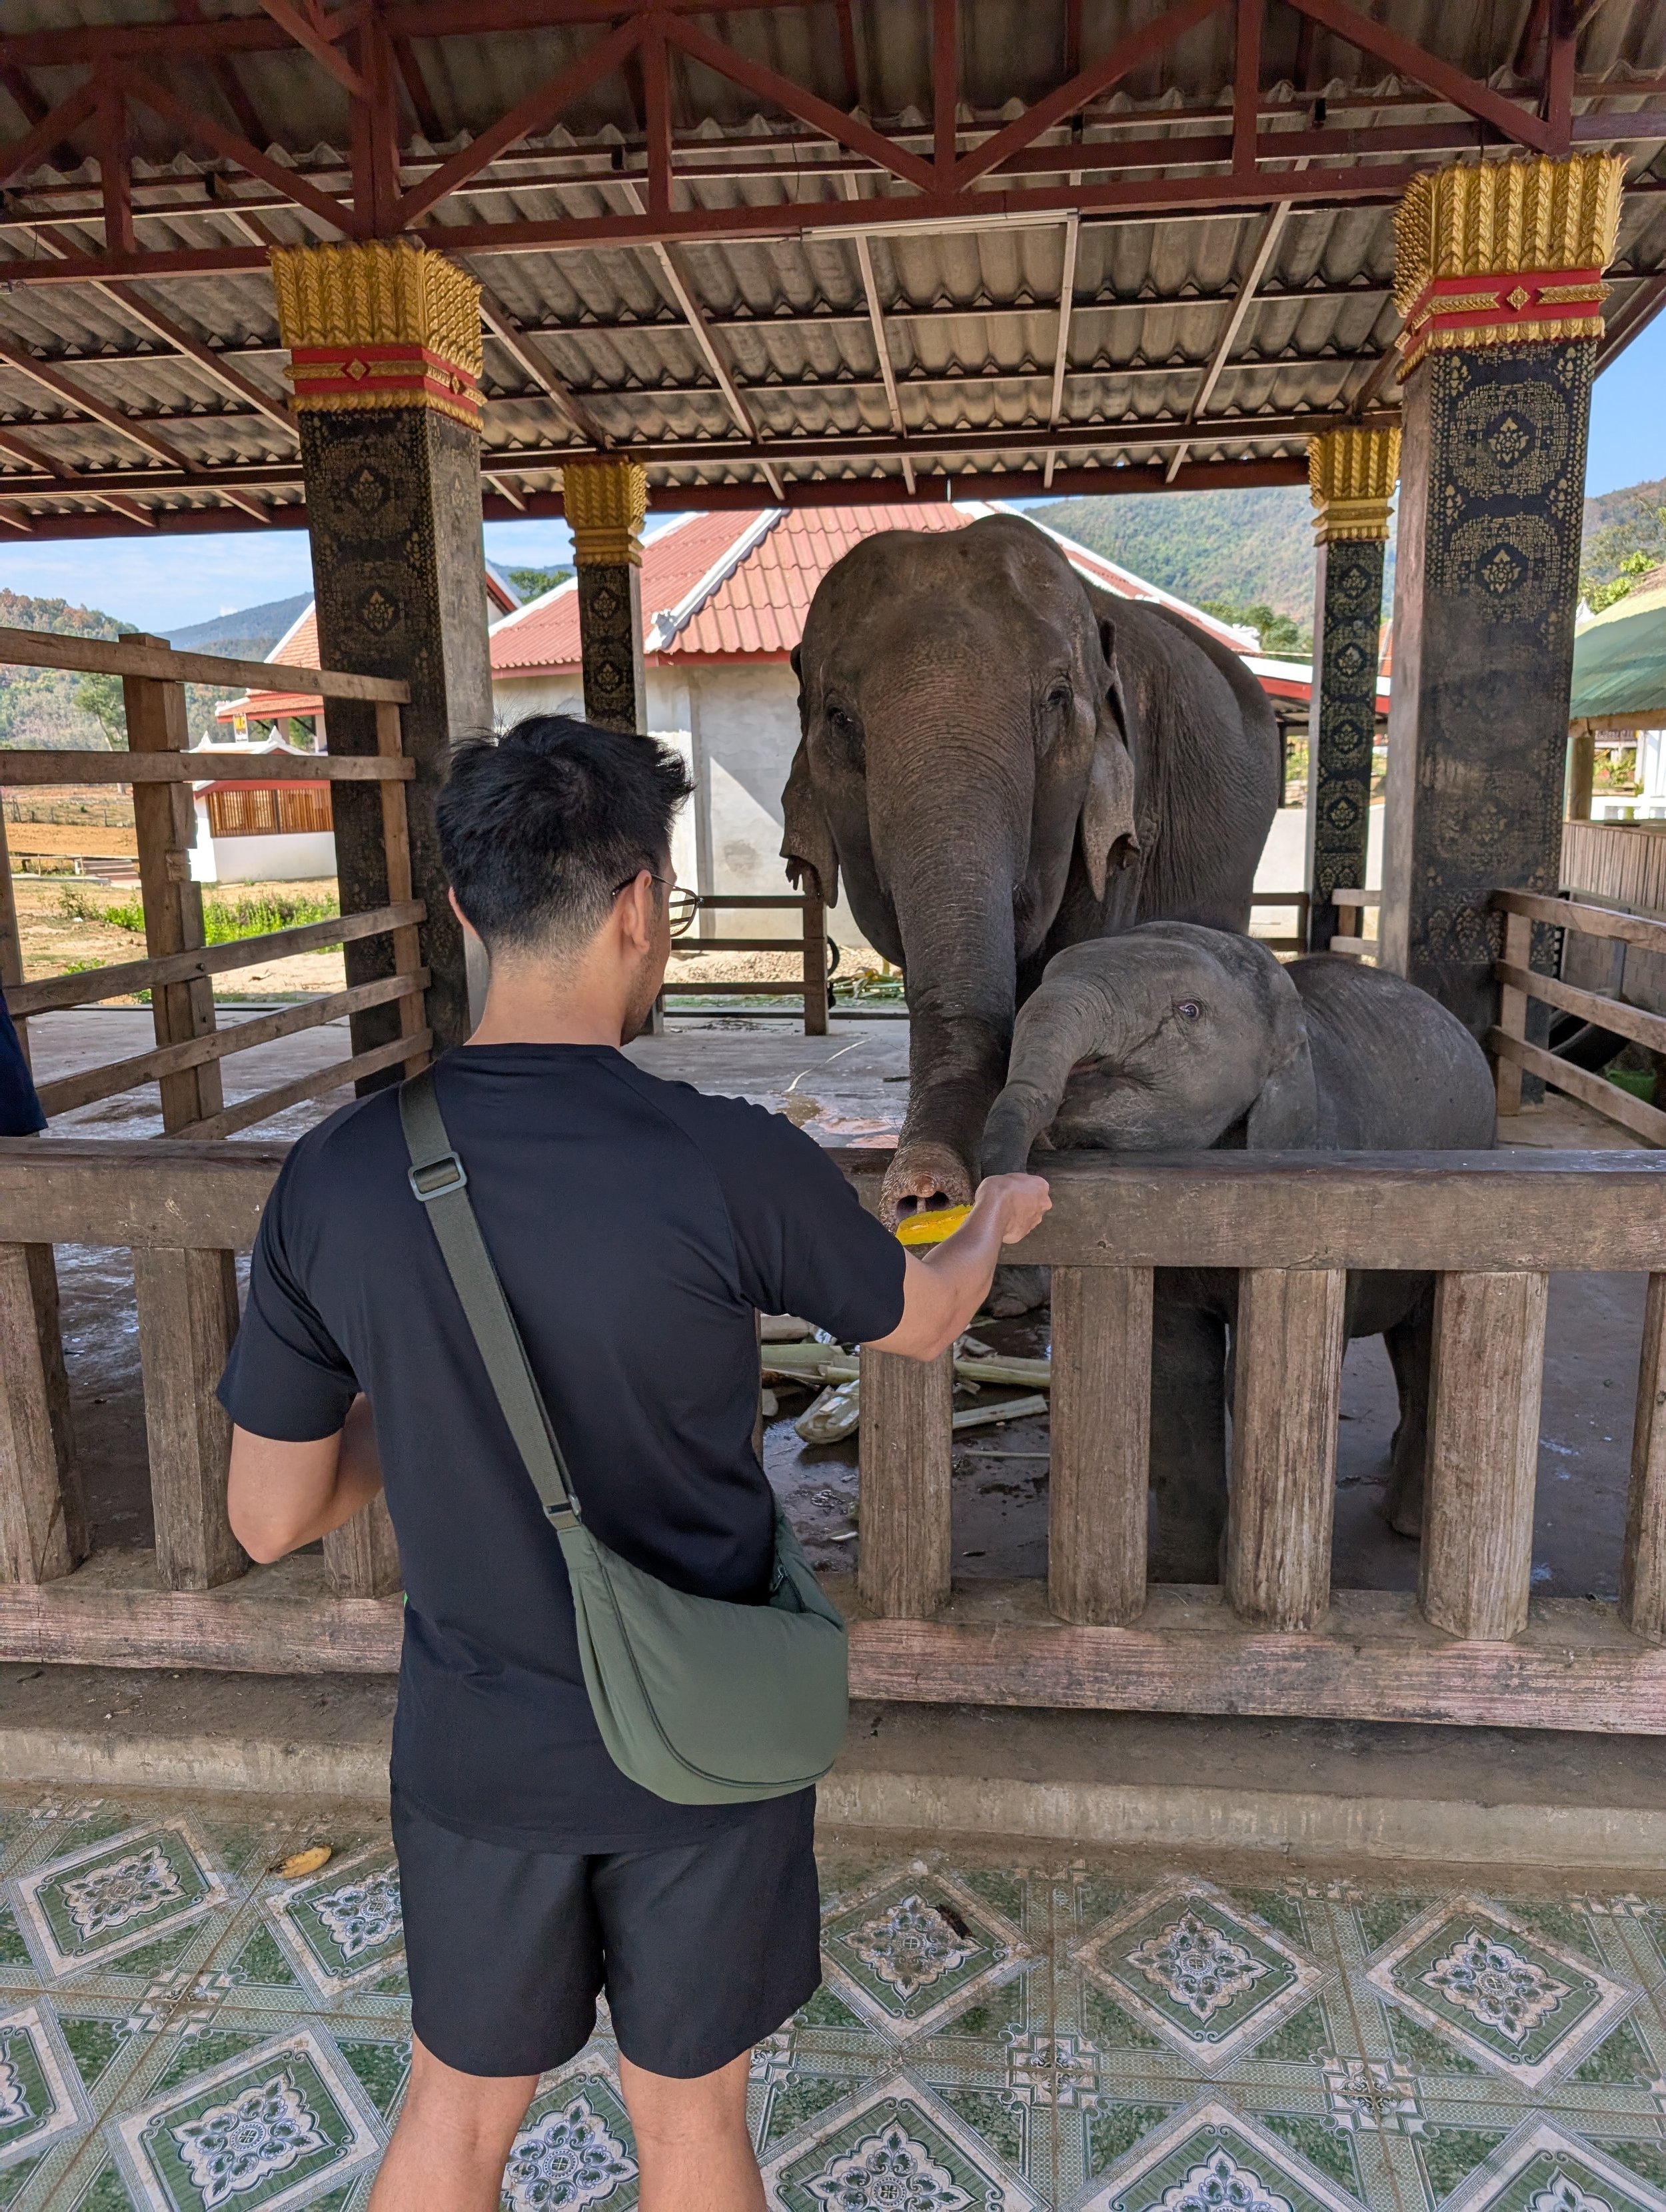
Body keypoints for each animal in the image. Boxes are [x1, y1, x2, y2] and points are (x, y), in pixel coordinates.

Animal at [981, 923, 1497, 1580]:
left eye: (1189, 1011)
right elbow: (1176, 1370)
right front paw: (1183, 1576)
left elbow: (1248, 1371)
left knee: (1425, 1340)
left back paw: (1406, 1525)